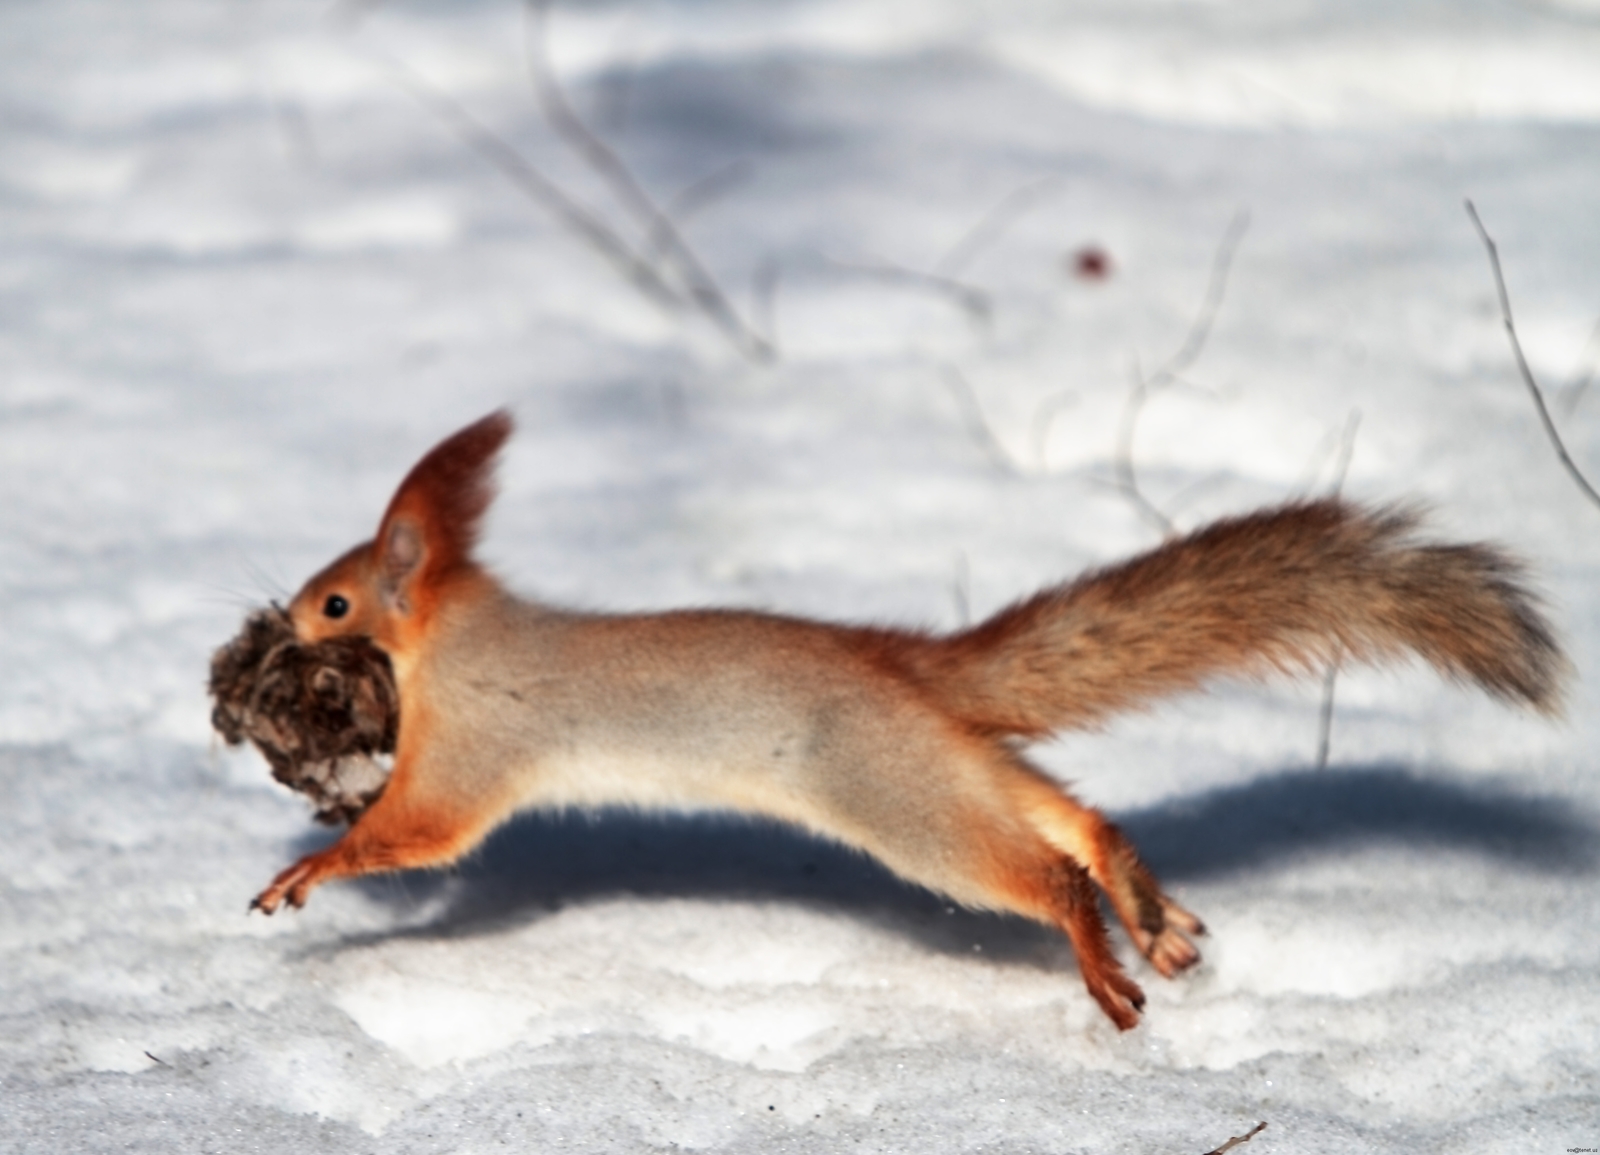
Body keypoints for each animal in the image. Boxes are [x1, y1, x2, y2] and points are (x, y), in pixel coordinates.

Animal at [256, 407, 1568, 1023]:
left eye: (336, 599)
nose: (275, 623)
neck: (455, 637)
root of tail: (903, 668)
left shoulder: (476, 747)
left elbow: (418, 830)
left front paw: (308, 870)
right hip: (955, 766)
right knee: (1080, 822)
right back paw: (1150, 915)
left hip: (901, 801)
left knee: (1045, 875)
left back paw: (1103, 965)